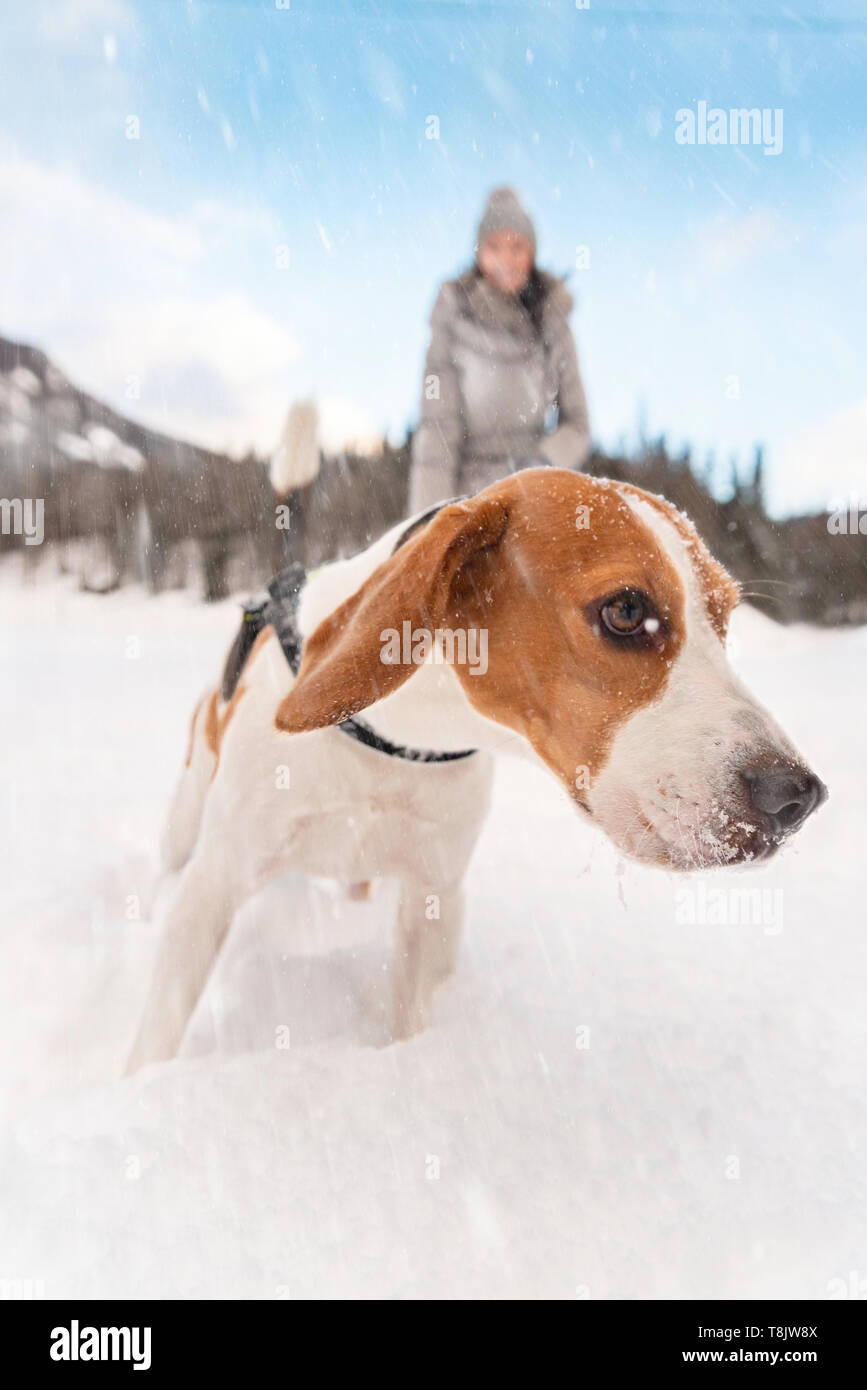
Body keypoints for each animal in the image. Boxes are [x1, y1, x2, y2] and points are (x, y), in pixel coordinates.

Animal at [127, 472, 828, 1067]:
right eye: (627, 611)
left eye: (726, 621)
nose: (798, 796)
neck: (401, 743)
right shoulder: (213, 888)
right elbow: (158, 1031)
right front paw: (144, 1091)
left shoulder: (433, 897)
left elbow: (409, 1016)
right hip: (186, 818)